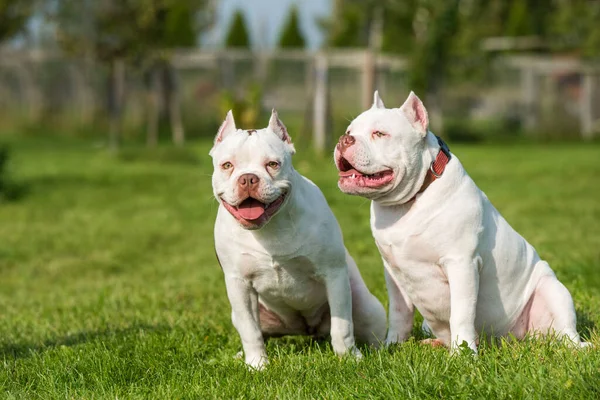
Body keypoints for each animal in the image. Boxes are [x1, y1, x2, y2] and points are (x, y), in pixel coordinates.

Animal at [211, 108, 386, 368]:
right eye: (227, 165)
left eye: (273, 164)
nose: (249, 178)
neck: (271, 228)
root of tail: (306, 329)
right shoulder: (239, 284)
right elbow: (250, 330)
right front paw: (257, 365)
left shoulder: (333, 274)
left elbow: (342, 325)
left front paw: (348, 357)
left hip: (367, 306)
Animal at [336, 91, 588, 354]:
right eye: (349, 130)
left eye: (380, 134)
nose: (344, 140)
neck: (408, 202)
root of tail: (507, 341)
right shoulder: (394, 274)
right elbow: (398, 313)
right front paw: (392, 346)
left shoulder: (461, 264)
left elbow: (461, 312)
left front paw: (463, 353)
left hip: (552, 290)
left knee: (567, 333)